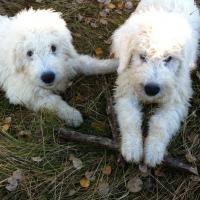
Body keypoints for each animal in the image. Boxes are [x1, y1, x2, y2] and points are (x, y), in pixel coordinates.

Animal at [111, 0, 199, 166]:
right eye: (142, 56)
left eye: (169, 58)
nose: (151, 89)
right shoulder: (126, 89)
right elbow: (130, 118)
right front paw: (132, 148)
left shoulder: (176, 101)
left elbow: (161, 123)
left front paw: (153, 152)